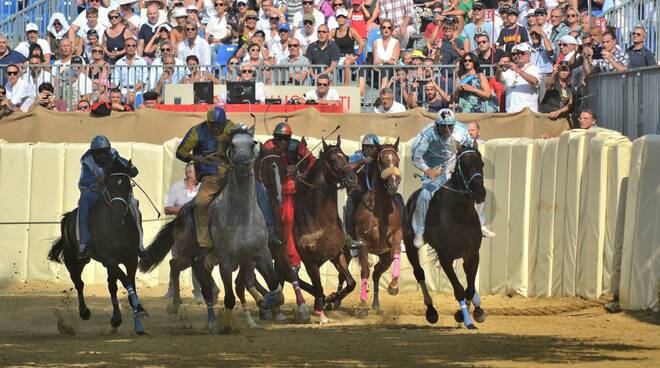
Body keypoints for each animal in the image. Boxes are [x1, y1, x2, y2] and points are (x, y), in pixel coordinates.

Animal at [47, 157, 148, 334]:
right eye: (111, 185)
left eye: (127, 186)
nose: (118, 214)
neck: (117, 227)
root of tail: (68, 218)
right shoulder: (109, 259)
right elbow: (126, 281)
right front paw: (139, 309)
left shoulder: (130, 259)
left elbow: (128, 284)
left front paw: (138, 321)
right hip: (74, 261)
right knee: (79, 283)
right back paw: (84, 312)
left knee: (110, 285)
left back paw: (116, 319)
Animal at [206, 127, 284, 334]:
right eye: (233, 145)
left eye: (252, 144)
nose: (241, 164)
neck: (242, 220)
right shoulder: (225, 262)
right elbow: (229, 297)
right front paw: (226, 325)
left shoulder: (260, 254)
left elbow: (273, 281)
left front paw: (270, 302)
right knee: (207, 285)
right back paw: (214, 321)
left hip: (245, 262)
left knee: (241, 286)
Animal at [354, 139, 404, 318]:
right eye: (382, 162)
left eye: (397, 160)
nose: (393, 184)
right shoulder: (363, 243)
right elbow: (364, 272)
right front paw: (362, 306)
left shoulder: (396, 235)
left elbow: (396, 250)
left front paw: (393, 286)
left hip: (384, 257)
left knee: (376, 273)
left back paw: (376, 303)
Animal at [400, 142, 488, 330]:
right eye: (464, 165)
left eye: (481, 164)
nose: (480, 193)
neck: (460, 215)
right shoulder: (445, 257)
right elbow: (459, 289)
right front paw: (464, 318)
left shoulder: (472, 254)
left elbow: (469, 288)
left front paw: (467, 314)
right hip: (410, 247)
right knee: (419, 273)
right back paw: (431, 311)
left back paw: (478, 309)